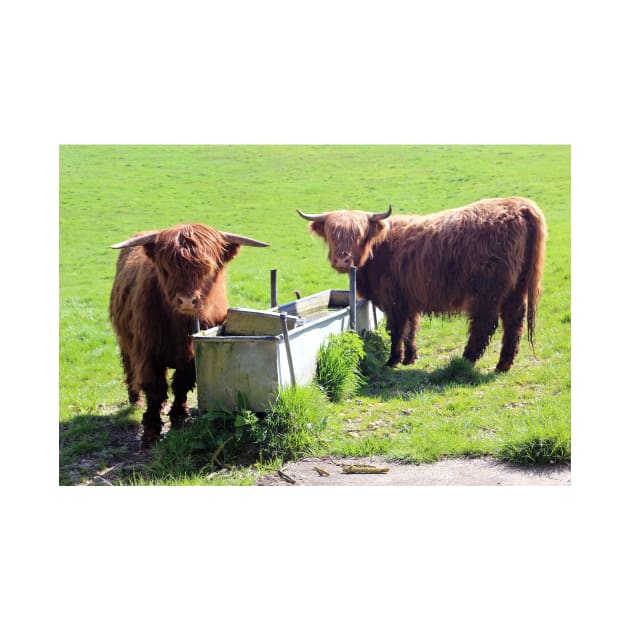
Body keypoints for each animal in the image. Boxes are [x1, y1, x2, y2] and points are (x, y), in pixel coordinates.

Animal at [111, 222, 270, 450]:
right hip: (126, 341)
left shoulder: (193, 355)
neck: (180, 326)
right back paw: (135, 398)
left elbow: (181, 384)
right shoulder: (148, 353)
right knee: (129, 367)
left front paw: (178, 417)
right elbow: (155, 388)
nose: (187, 300)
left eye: (208, 268)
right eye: (166, 269)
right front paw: (151, 431)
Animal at [298, 198, 548, 372]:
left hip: (488, 292)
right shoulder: (410, 298)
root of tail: (519, 205)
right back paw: (503, 364)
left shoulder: (394, 301)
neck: (378, 250)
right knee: (513, 323)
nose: (342, 260)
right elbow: (412, 328)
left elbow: (397, 330)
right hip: (516, 289)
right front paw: (410, 357)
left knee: (484, 325)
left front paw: (392, 360)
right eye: (331, 233)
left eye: (357, 234)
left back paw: (465, 360)